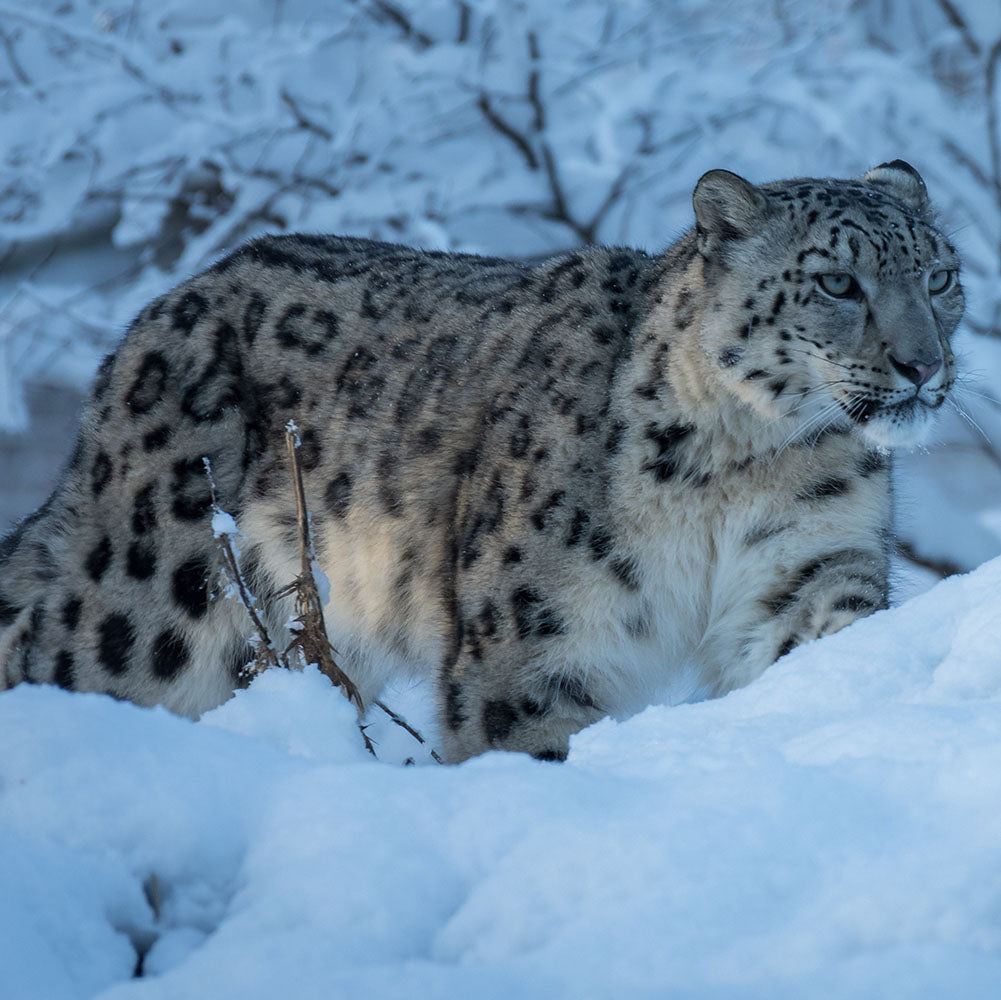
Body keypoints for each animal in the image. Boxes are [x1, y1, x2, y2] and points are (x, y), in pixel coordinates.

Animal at [0, 162, 960, 756]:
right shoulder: (538, 633)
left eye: (940, 276)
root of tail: (153, 317)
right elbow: (523, 735)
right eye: (836, 282)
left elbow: (827, 632)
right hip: (152, 613)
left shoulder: (805, 562)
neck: (742, 467)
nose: (924, 364)